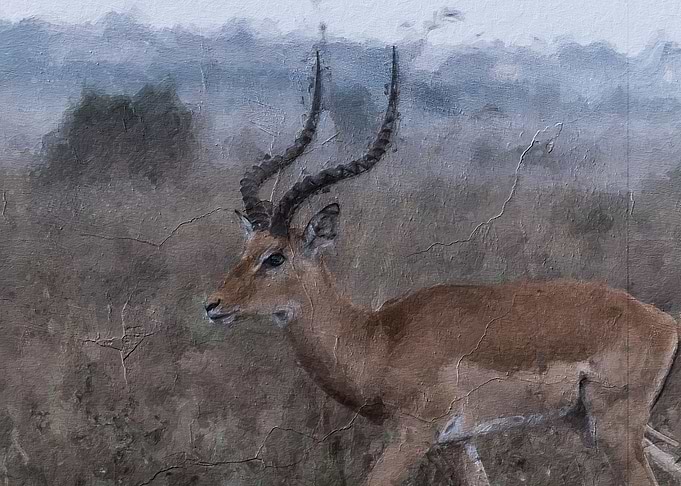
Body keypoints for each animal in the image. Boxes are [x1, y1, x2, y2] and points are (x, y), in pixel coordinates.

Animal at [205, 47, 680, 485]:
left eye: (275, 257)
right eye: (247, 247)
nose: (213, 305)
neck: (380, 340)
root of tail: (663, 321)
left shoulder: (413, 435)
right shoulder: (459, 441)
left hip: (614, 430)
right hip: (597, 424)